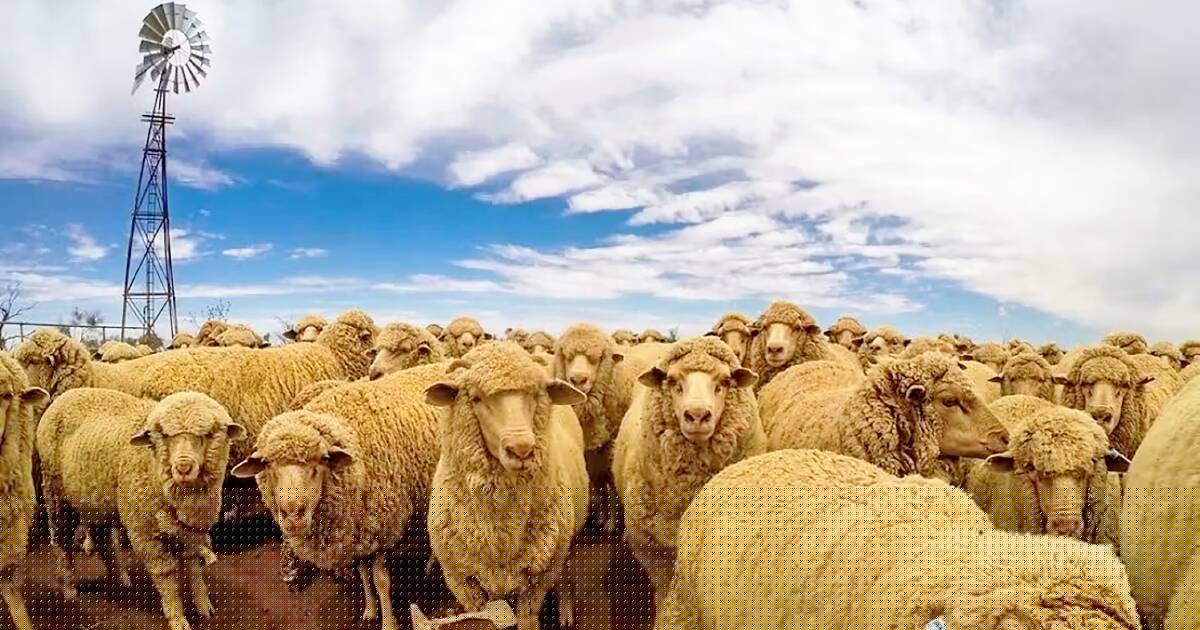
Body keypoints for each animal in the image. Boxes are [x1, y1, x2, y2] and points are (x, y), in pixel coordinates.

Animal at [38, 389, 242, 630]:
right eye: (164, 435)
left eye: (207, 434)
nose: (183, 468)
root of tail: (65, 395)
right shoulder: (146, 534)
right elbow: (166, 575)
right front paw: (177, 617)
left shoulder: (192, 529)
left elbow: (193, 567)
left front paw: (203, 606)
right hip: (56, 494)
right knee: (62, 542)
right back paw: (70, 591)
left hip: (97, 502)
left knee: (103, 540)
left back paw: (121, 581)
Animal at [232, 360, 449, 629]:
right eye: (267, 465)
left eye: (320, 462)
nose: (293, 515)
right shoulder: (357, 532)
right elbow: (363, 573)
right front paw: (369, 610)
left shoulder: (380, 526)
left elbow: (381, 580)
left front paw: (389, 622)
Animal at [423, 343, 589, 630]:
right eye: (476, 398)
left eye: (534, 395)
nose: (522, 450)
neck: (501, 532)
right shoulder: (462, 580)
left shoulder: (539, 576)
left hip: (564, 541)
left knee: (565, 570)